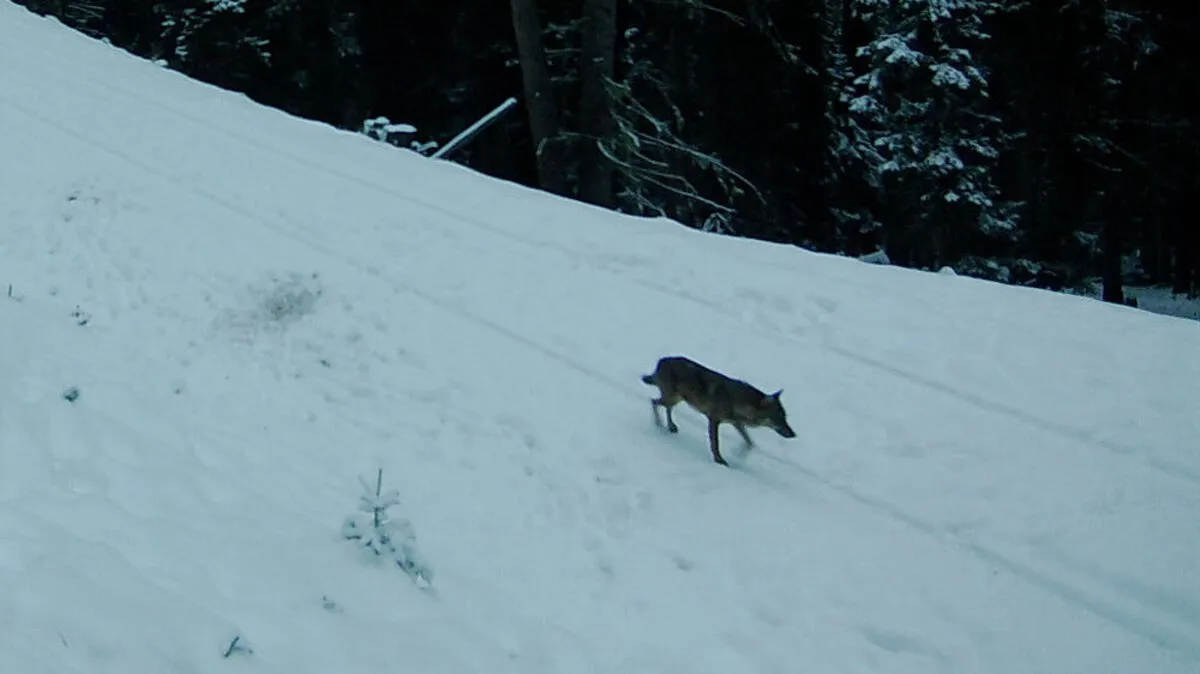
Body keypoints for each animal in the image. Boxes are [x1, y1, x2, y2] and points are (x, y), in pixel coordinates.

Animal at [640, 355, 796, 466]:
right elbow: (716, 443)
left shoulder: (737, 423)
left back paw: (671, 427)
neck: (737, 401)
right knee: (653, 401)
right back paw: (659, 424)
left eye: (785, 417)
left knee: (665, 407)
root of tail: (662, 360)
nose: (794, 434)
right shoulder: (714, 420)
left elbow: (750, 443)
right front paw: (719, 460)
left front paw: (738, 454)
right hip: (671, 398)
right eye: (779, 418)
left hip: (676, 399)